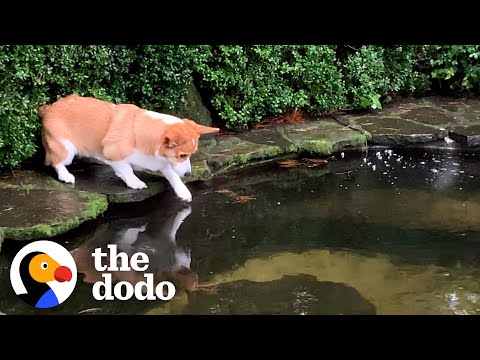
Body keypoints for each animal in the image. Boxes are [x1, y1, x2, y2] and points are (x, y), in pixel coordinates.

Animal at [39, 95, 219, 202]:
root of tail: (49, 108)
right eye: (182, 155)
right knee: (57, 162)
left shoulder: (161, 161)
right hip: (66, 149)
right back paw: (66, 176)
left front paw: (183, 191)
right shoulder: (114, 155)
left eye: (189, 155)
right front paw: (135, 182)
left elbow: (172, 174)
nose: (188, 174)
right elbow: (127, 170)